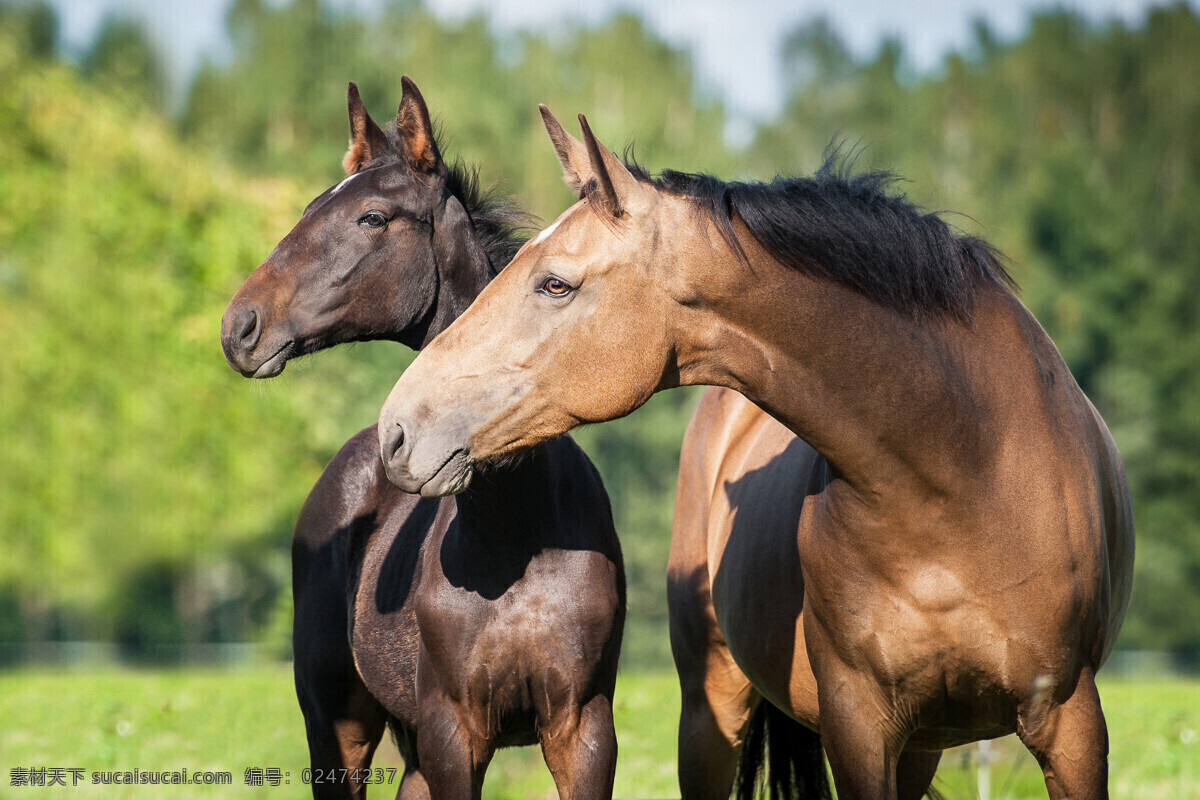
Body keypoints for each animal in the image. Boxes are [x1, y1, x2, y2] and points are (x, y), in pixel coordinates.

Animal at [219, 82, 624, 800]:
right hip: (338, 726)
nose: (240, 327)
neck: (520, 529)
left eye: (372, 217)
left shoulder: (583, 729)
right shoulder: (452, 732)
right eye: (310, 207)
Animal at [374, 107, 1132, 800]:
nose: (396, 429)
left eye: (555, 283)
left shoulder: (1070, 723)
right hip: (712, 714)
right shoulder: (860, 728)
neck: (964, 462)